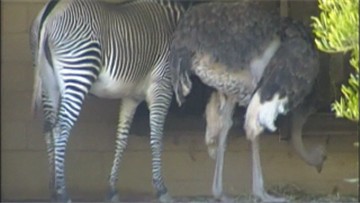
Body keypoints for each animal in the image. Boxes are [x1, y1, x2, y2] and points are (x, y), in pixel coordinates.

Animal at [29, 0, 184, 201]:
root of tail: (51, 11)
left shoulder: (131, 96)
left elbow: (121, 139)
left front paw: (112, 190)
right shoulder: (161, 86)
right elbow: (157, 137)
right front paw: (161, 189)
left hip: (48, 82)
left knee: (48, 129)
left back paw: (53, 190)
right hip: (79, 70)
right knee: (60, 127)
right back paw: (62, 192)